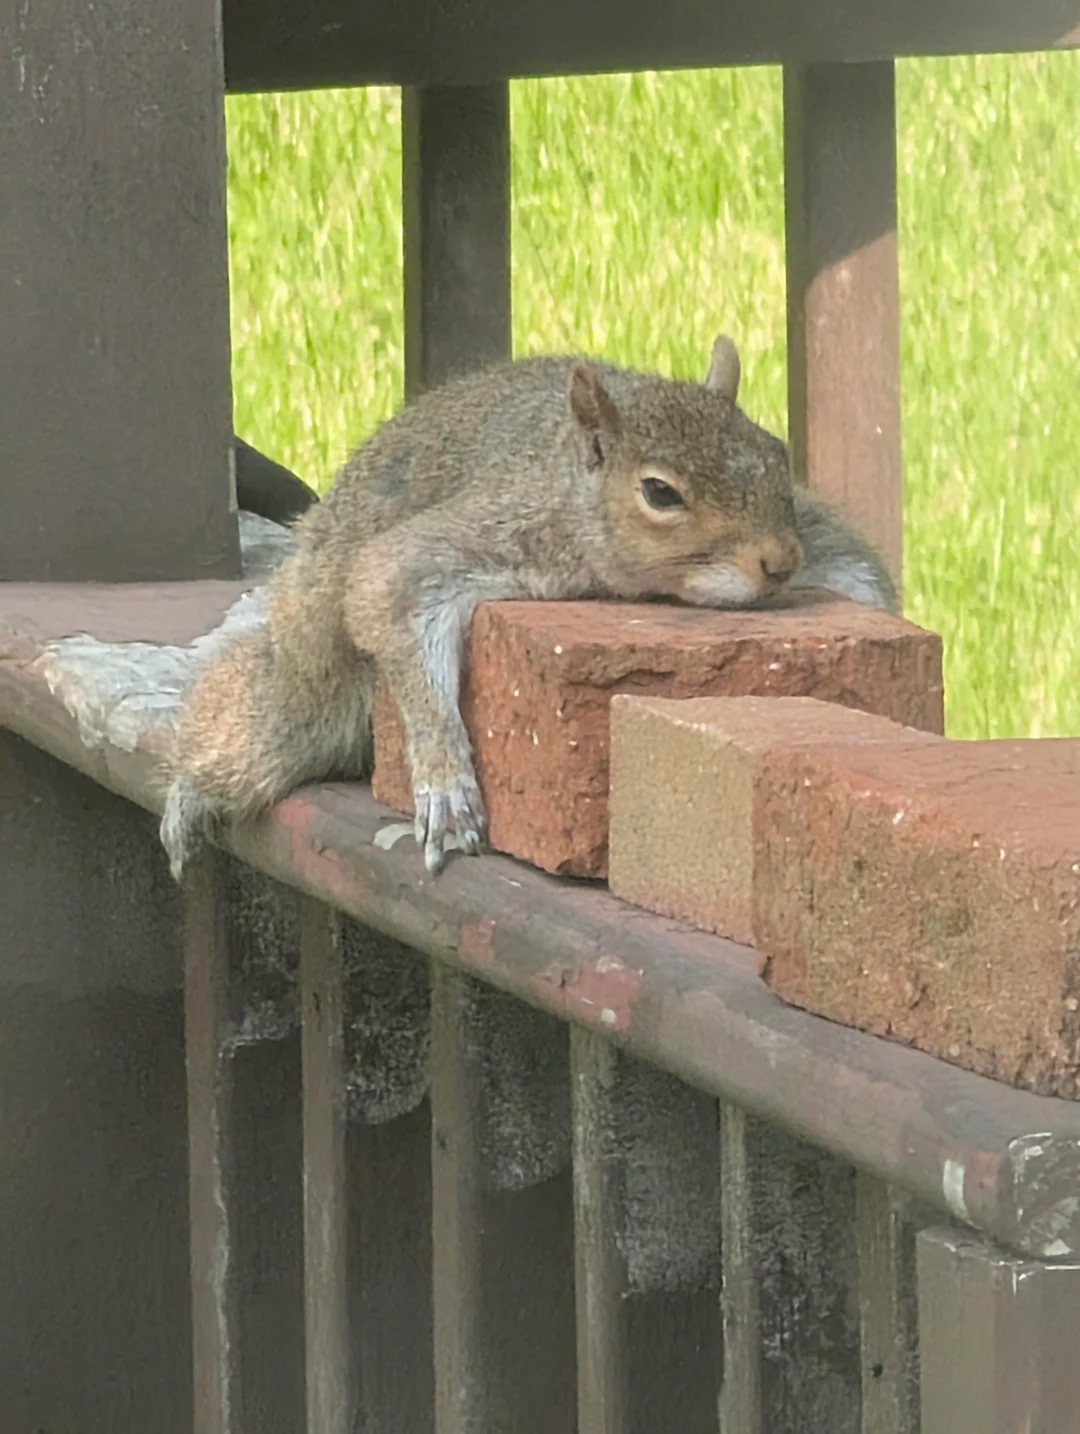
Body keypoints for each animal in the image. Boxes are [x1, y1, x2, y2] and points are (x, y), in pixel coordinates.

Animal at [160, 334, 896, 881]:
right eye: (660, 492)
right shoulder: (470, 534)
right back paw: (191, 795)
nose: (779, 562)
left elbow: (860, 576)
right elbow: (386, 597)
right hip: (305, 688)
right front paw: (445, 782)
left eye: (777, 455)